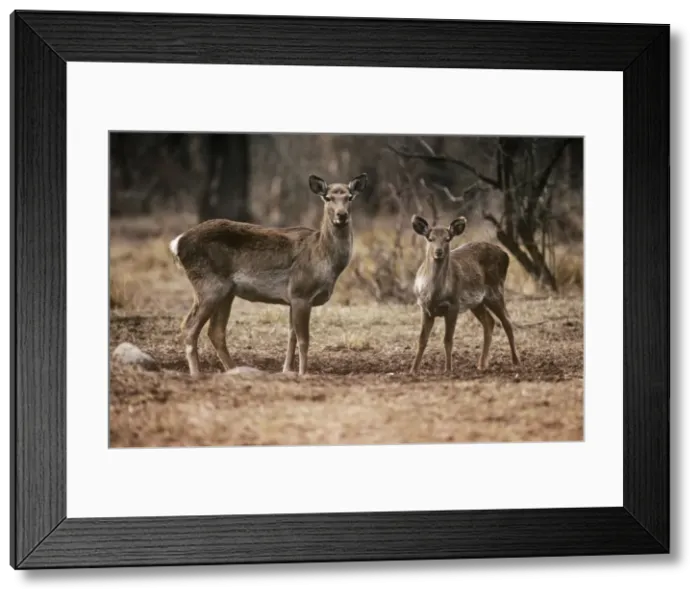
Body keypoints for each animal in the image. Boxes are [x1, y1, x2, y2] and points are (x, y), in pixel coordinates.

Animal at [169, 172, 368, 377]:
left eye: (350, 197)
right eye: (328, 198)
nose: (341, 215)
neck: (323, 258)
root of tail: (177, 243)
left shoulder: (292, 298)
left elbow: (291, 336)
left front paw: (287, 370)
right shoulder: (301, 292)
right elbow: (304, 340)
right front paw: (303, 373)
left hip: (226, 292)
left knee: (215, 331)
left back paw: (234, 370)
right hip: (208, 285)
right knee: (189, 327)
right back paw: (197, 374)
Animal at [408, 214, 521, 375]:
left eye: (447, 238)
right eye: (430, 238)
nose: (438, 252)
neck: (435, 295)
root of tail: (506, 255)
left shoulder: (453, 305)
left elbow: (448, 340)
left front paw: (448, 369)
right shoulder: (424, 307)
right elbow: (422, 339)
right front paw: (413, 370)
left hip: (496, 290)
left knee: (507, 321)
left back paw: (516, 361)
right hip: (477, 301)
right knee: (489, 321)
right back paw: (481, 364)